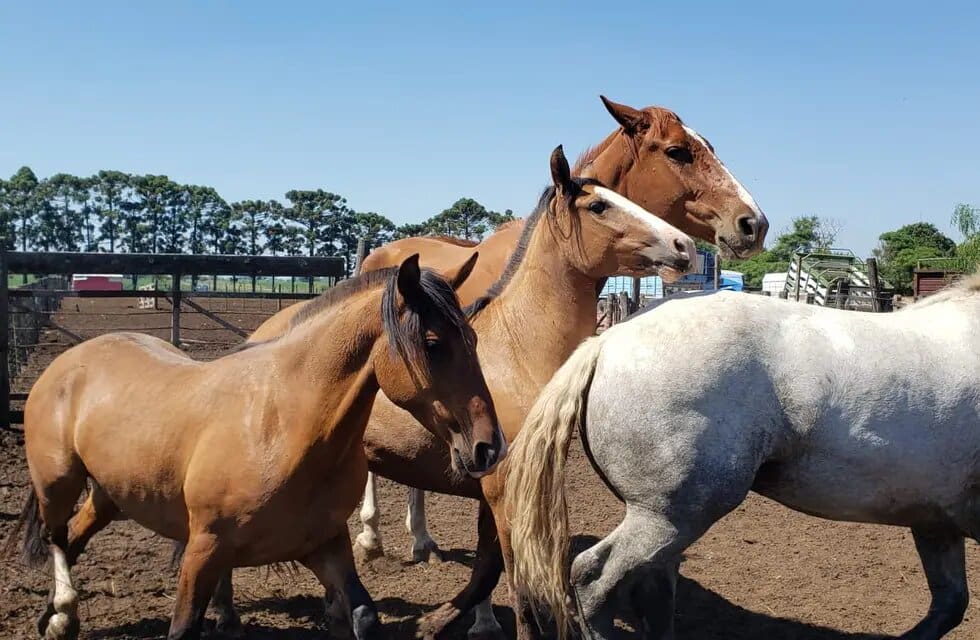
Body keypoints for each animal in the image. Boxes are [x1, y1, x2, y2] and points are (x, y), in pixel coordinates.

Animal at [6, 254, 504, 640]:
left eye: (475, 339)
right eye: (433, 343)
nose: (489, 447)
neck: (283, 427)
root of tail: (69, 361)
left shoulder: (325, 546)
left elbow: (363, 614)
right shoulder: (203, 550)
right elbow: (183, 627)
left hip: (111, 495)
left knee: (74, 536)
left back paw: (50, 615)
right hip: (58, 482)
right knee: (56, 537)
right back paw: (62, 614)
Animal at [207, 145, 700, 639]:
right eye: (599, 206)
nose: (685, 247)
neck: (521, 349)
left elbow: (489, 568)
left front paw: (441, 620)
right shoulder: (500, 489)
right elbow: (513, 580)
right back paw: (233, 611)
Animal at [506, 281, 980, 640]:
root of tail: (608, 341)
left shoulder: (934, 523)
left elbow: (950, 604)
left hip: (664, 521)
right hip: (671, 515)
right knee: (593, 579)